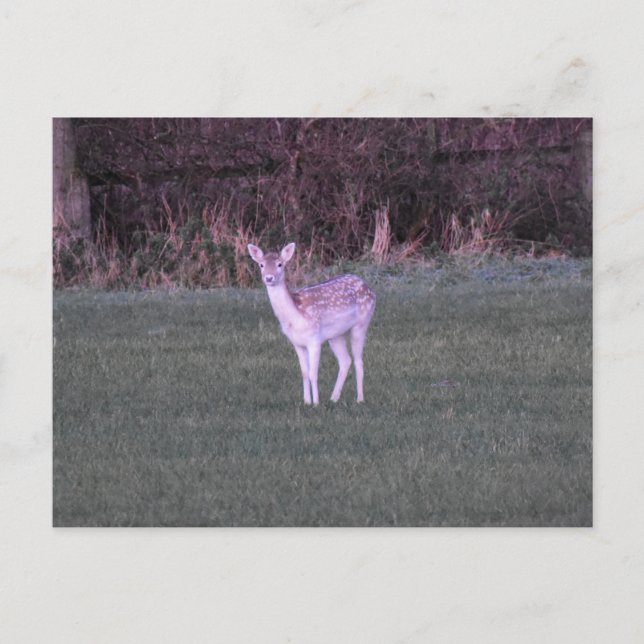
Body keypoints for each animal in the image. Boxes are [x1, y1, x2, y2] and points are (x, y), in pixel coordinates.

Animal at [248, 242, 376, 405]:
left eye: (280, 264)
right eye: (261, 264)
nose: (269, 277)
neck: (296, 316)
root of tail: (370, 289)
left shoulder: (314, 339)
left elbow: (313, 373)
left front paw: (316, 403)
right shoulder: (297, 343)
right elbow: (304, 373)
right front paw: (306, 401)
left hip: (362, 323)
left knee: (358, 361)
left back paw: (359, 399)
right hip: (335, 335)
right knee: (345, 361)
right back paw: (334, 398)